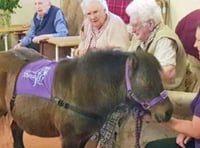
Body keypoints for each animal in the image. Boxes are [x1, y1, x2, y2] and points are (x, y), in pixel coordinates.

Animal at [0, 48, 173, 147]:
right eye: (147, 82)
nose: (168, 112)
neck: (83, 90)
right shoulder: (69, 139)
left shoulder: (84, 137)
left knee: (16, 130)